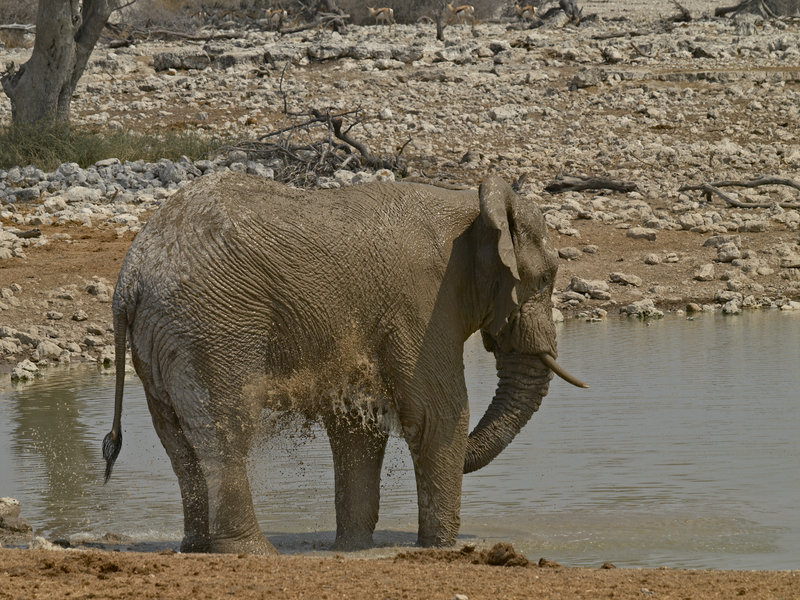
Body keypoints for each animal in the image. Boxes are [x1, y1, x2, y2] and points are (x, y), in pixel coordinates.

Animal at [103, 171, 586, 555]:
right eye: (546, 278)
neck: (472, 204)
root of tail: (130, 277)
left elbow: (358, 427)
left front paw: (353, 547)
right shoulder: (422, 302)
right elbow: (437, 414)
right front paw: (441, 548)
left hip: (162, 336)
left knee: (177, 439)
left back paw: (197, 548)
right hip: (213, 326)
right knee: (227, 428)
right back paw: (255, 552)